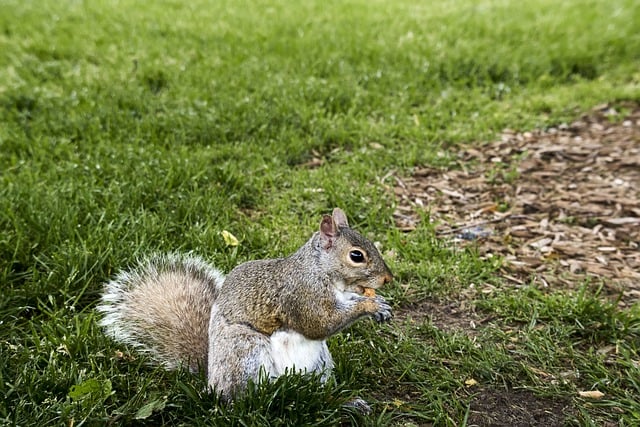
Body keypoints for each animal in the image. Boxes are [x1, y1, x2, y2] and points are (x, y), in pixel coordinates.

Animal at [97, 209, 392, 410]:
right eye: (356, 256)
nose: (388, 279)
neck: (322, 272)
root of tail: (211, 380)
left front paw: (380, 306)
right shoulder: (301, 295)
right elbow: (319, 323)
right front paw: (370, 304)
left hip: (320, 362)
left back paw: (342, 402)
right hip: (246, 350)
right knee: (243, 398)